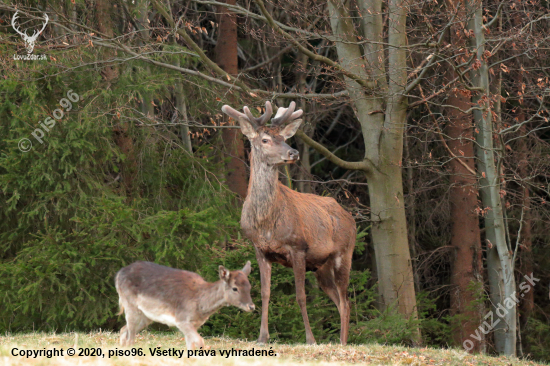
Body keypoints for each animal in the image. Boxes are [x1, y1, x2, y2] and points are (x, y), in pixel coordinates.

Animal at [116, 260, 256, 348]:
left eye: (249, 286)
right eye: (235, 288)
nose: (252, 306)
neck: (201, 306)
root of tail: (118, 274)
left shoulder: (194, 324)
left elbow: (191, 346)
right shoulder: (181, 319)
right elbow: (200, 341)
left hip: (147, 316)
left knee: (123, 329)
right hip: (129, 304)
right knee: (130, 335)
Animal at [223, 101, 358, 344]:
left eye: (283, 138)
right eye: (265, 139)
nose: (293, 152)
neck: (266, 223)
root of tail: (350, 217)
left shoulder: (298, 247)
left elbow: (301, 296)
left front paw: (310, 339)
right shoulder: (260, 249)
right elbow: (265, 292)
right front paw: (262, 337)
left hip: (344, 253)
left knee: (345, 301)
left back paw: (342, 343)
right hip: (321, 268)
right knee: (340, 301)